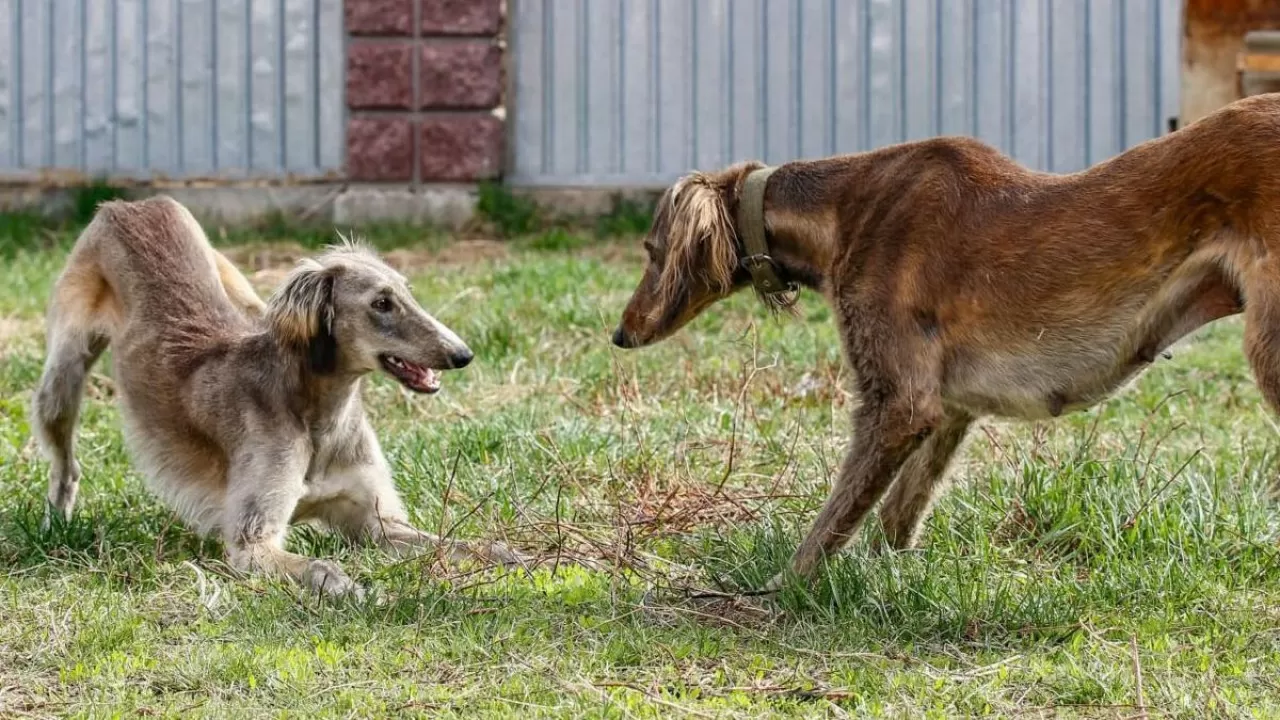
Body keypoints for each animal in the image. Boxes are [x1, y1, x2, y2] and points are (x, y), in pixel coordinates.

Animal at [30, 193, 522, 597]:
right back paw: (55, 525)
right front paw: (350, 587)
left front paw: (516, 557)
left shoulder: (377, 524)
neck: (320, 415)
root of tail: (132, 204)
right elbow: (320, 566)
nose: (462, 354)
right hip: (62, 377)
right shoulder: (252, 544)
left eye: (407, 292)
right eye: (381, 303)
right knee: (66, 466)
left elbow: (465, 544)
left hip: (245, 297)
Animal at [611, 92, 1280, 591]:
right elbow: (898, 513)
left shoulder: (899, 402)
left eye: (651, 250)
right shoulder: (951, 408)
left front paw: (783, 587)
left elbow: (834, 518)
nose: (620, 334)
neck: (845, 209)